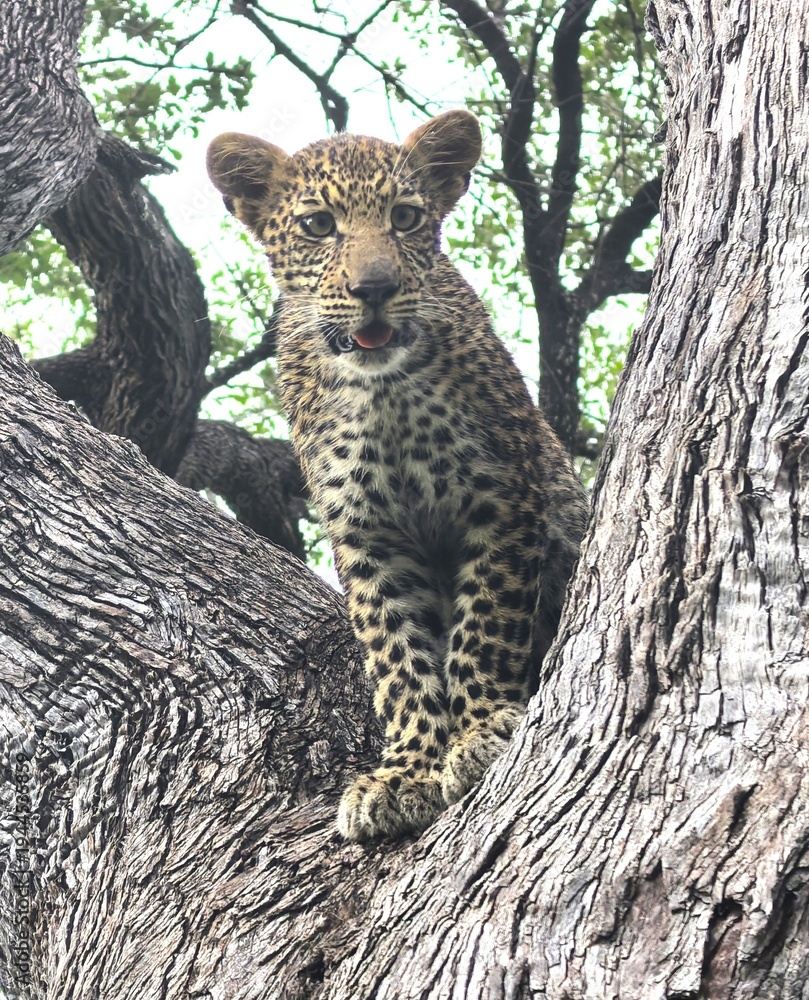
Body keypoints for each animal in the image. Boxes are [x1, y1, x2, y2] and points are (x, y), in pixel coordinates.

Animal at [207, 110, 588, 842]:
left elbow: (483, 627)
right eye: (318, 225)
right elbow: (398, 658)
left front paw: (477, 732)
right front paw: (407, 770)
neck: (382, 393)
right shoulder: (368, 537)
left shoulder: (500, 499)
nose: (374, 290)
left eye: (405, 218)